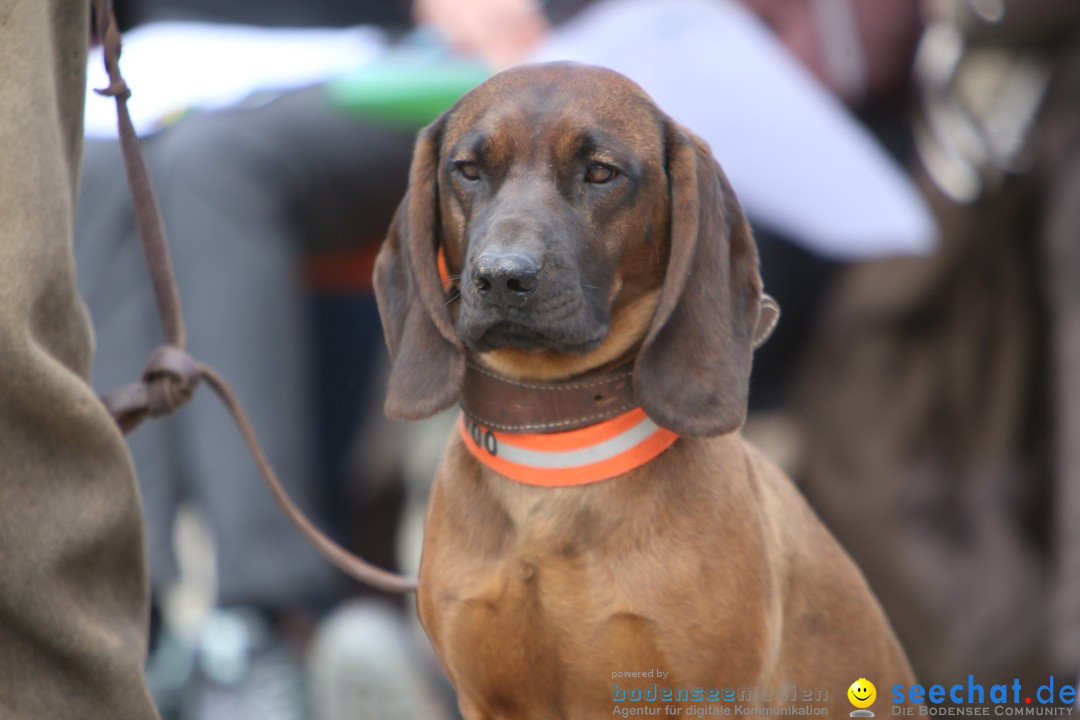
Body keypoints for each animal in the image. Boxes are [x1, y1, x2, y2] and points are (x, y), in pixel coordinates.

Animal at [371, 63, 911, 720]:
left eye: (601, 172)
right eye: (468, 169)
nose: (501, 277)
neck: (556, 455)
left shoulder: (705, 697)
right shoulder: (484, 698)